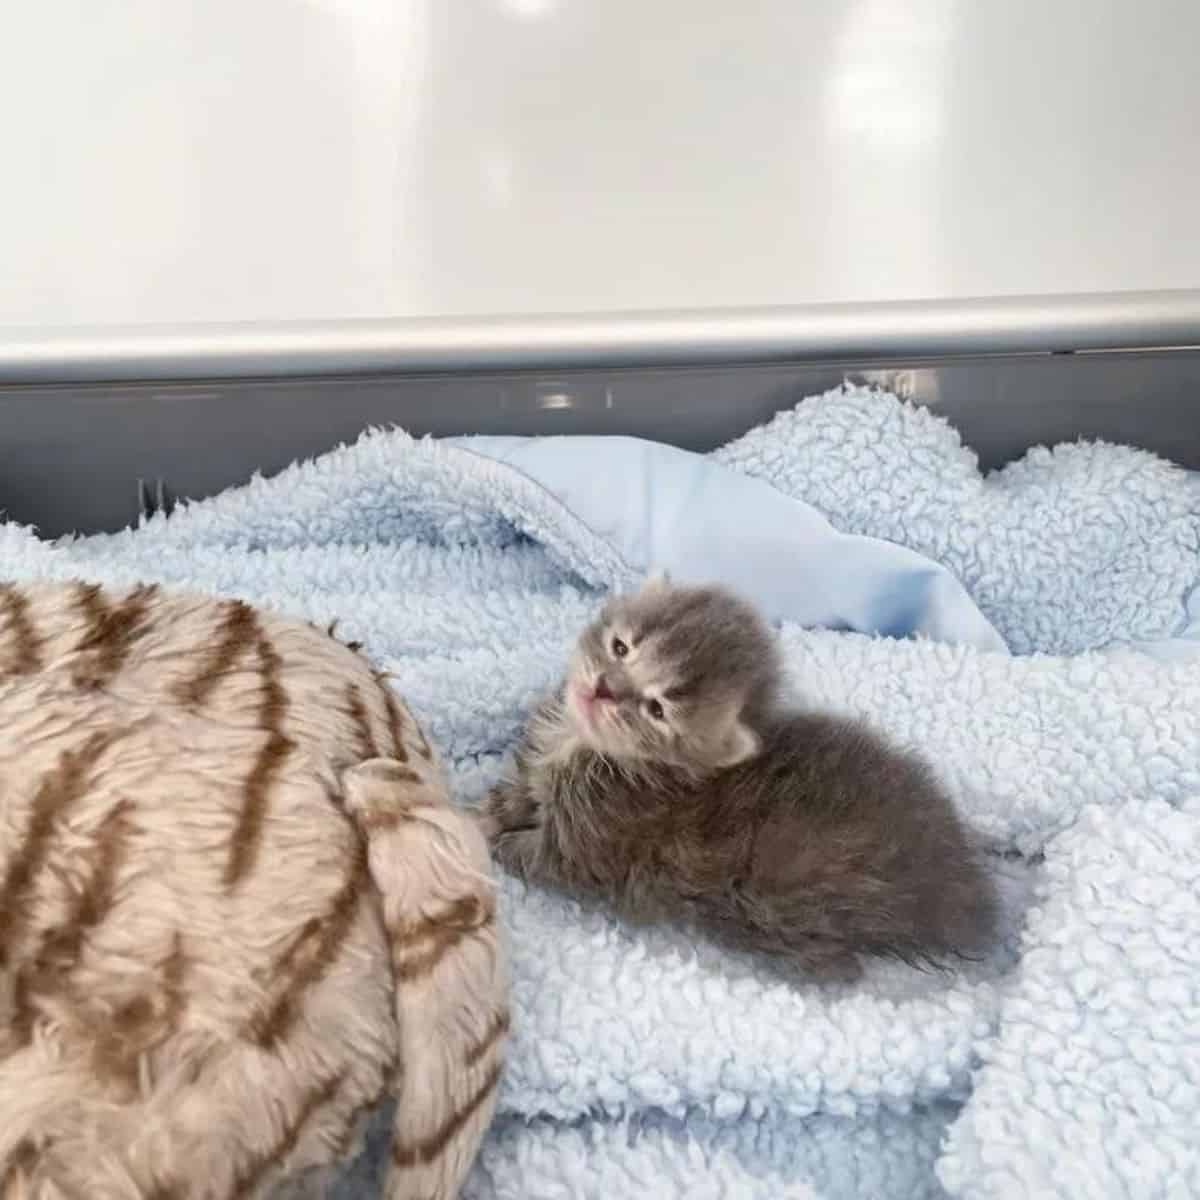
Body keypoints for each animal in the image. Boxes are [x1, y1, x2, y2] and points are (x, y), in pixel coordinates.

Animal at [482, 576, 998, 979]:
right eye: (621, 646)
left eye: (656, 709)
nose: (603, 688)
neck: (582, 745)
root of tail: (958, 880)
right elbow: (508, 798)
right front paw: (482, 809)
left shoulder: (584, 846)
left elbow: (529, 854)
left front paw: (480, 841)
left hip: (790, 915)